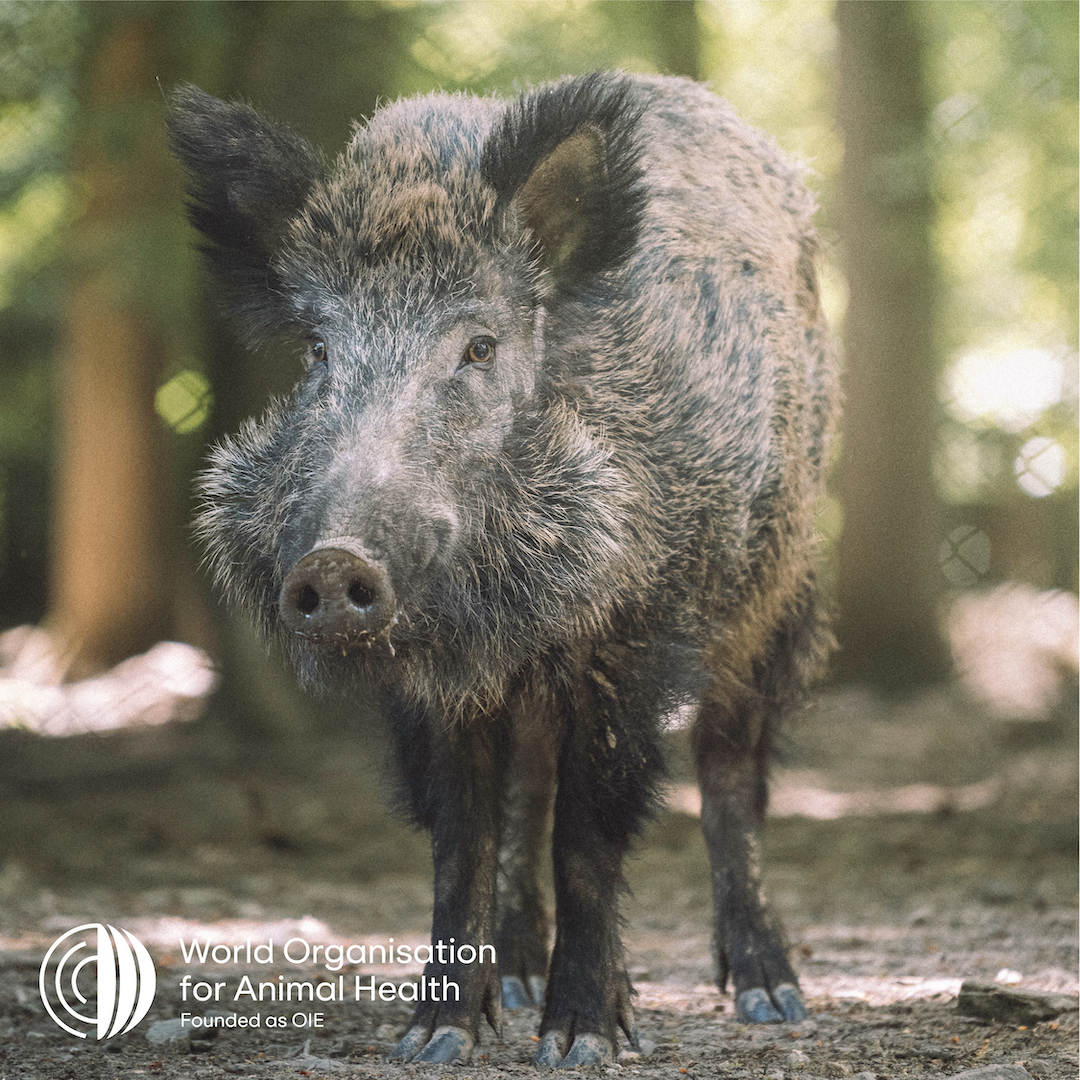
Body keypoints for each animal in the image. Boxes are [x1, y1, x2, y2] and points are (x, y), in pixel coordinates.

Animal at [169, 71, 837, 1067]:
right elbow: (465, 835)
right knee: (528, 786)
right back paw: (518, 982)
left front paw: (579, 1044)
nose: (333, 563)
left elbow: (589, 833)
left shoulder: (635, 641)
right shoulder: (434, 684)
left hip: (773, 591)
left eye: (479, 347)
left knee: (729, 770)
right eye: (319, 351)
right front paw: (432, 1041)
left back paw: (769, 997)